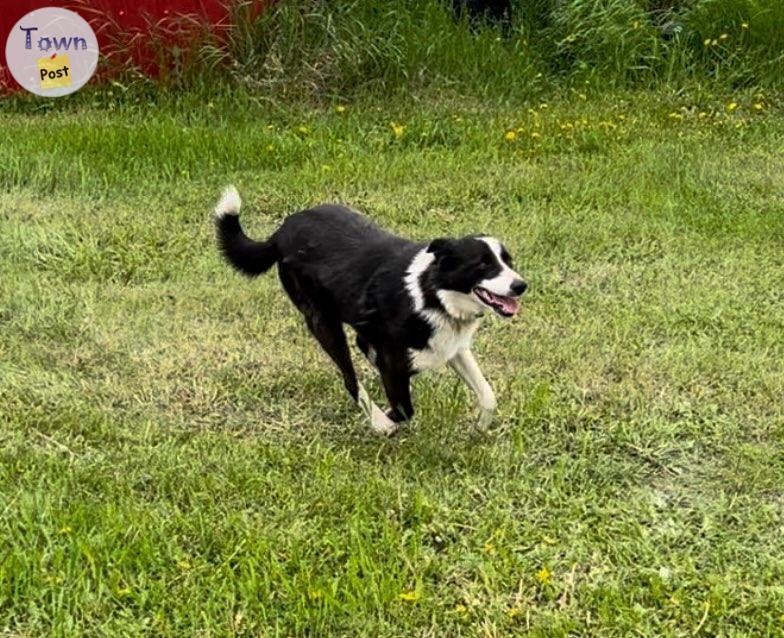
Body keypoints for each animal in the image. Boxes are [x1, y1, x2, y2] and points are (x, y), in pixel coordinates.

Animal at [214, 185, 528, 436]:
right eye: (483, 264)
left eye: (508, 261)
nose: (521, 285)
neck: (432, 294)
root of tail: (281, 230)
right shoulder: (394, 360)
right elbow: (403, 409)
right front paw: (387, 420)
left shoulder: (453, 346)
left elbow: (488, 395)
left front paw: (479, 428)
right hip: (323, 322)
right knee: (349, 379)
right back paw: (378, 421)